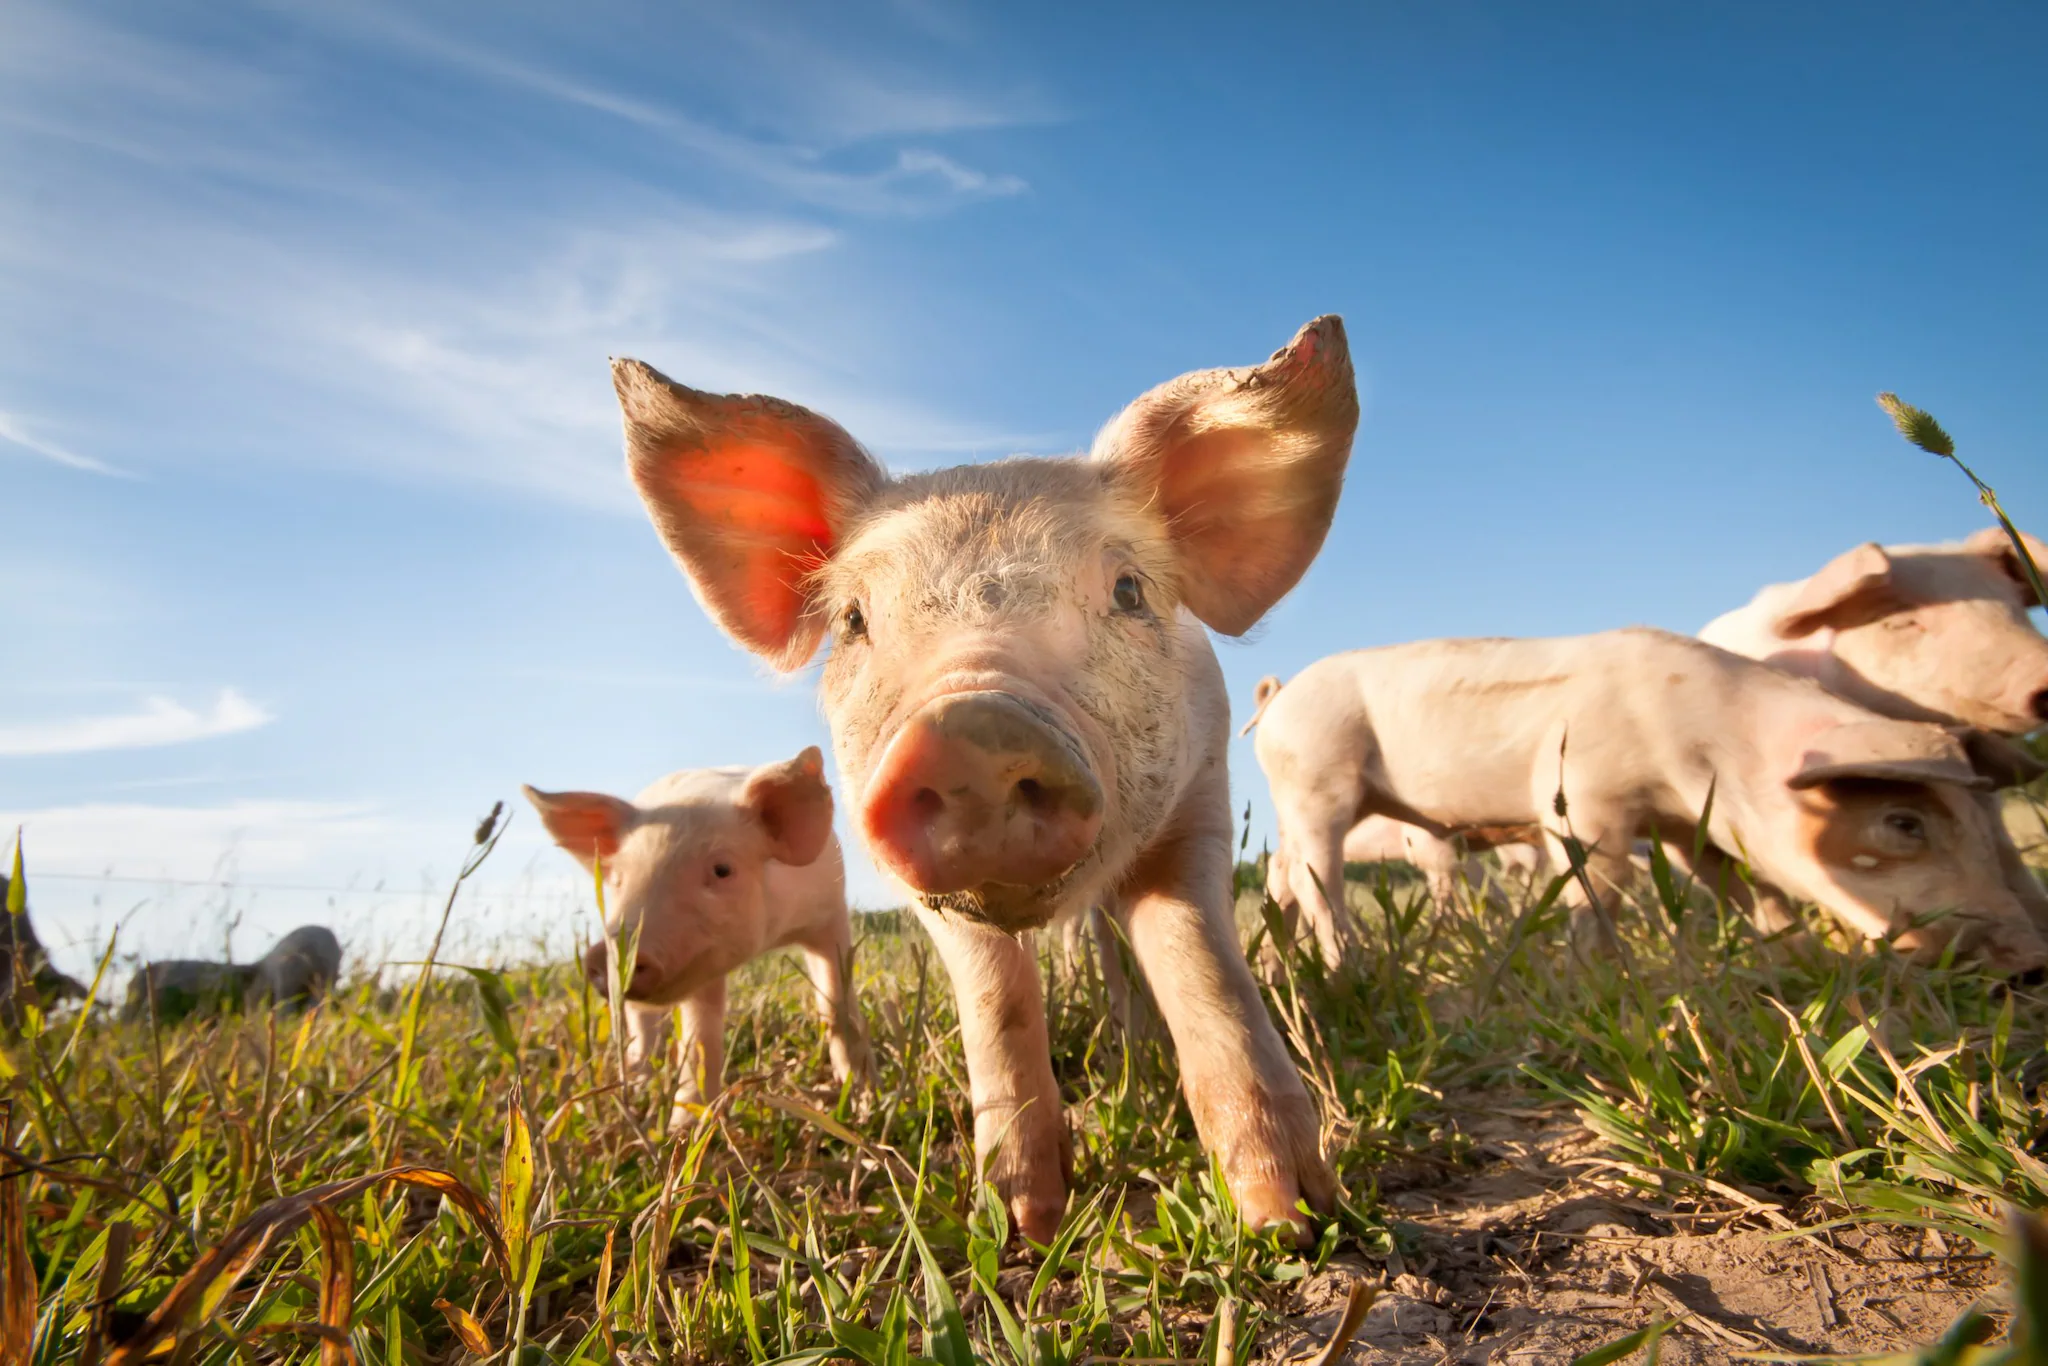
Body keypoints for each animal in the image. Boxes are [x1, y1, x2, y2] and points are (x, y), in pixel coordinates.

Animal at [523, 747, 873, 1128]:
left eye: (722, 870)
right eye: (618, 879)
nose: (611, 952)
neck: (773, 936)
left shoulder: (830, 914)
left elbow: (837, 1004)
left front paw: (862, 1100)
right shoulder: (700, 965)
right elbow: (700, 1037)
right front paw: (683, 1128)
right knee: (641, 1028)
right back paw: (638, 1083)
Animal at [612, 316, 1357, 1242]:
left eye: (1128, 589)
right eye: (853, 619)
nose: (969, 730)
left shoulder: (1201, 800)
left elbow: (1202, 963)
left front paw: (1292, 1218)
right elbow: (996, 999)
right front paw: (1022, 1220)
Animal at [1251, 628, 2048, 974]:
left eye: (1984, 828)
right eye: (1902, 822)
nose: (2032, 957)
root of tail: (1281, 694)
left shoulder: (1689, 829)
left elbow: (1746, 888)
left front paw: (1794, 955)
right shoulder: (1582, 798)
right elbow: (1600, 884)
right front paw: (1596, 972)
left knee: (1281, 875)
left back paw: (1285, 956)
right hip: (1317, 779)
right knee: (1319, 878)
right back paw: (1345, 966)